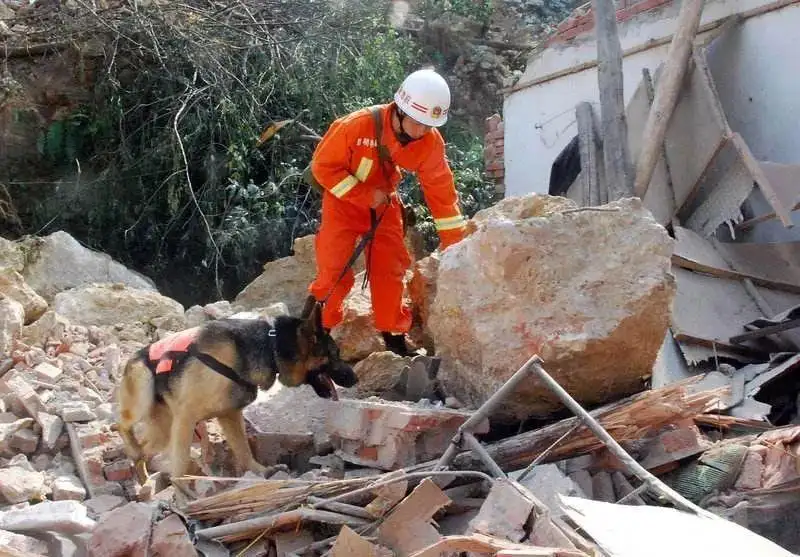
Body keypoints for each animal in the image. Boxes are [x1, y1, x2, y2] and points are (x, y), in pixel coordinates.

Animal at [115, 300, 356, 482]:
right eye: (335, 354)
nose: (355, 379)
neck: (271, 348)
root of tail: (131, 358)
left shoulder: (229, 415)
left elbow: (243, 448)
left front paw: (261, 471)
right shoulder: (187, 417)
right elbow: (181, 462)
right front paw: (183, 495)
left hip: (164, 430)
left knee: (143, 450)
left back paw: (142, 476)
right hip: (143, 393)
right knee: (122, 425)